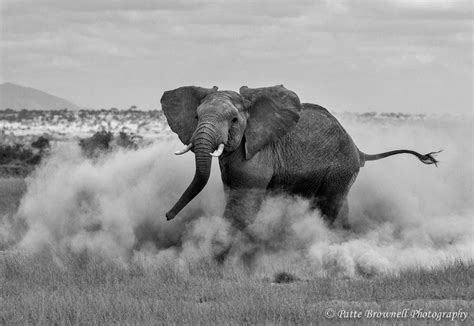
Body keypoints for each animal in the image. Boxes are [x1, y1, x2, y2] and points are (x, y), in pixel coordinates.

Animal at [160, 84, 440, 232]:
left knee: (329, 205)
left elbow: (243, 205)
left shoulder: (258, 154)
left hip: (340, 168)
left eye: (234, 120)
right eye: (196, 117)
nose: (167, 216)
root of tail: (358, 148)